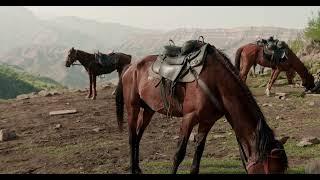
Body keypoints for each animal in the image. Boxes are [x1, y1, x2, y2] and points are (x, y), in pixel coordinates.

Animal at [116, 41, 288, 174]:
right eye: (274, 170)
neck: (217, 83)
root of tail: (130, 68)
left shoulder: (207, 121)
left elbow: (198, 153)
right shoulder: (189, 118)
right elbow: (179, 153)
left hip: (148, 110)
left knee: (138, 136)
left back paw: (137, 168)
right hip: (132, 107)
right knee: (132, 137)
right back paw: (132, 168)